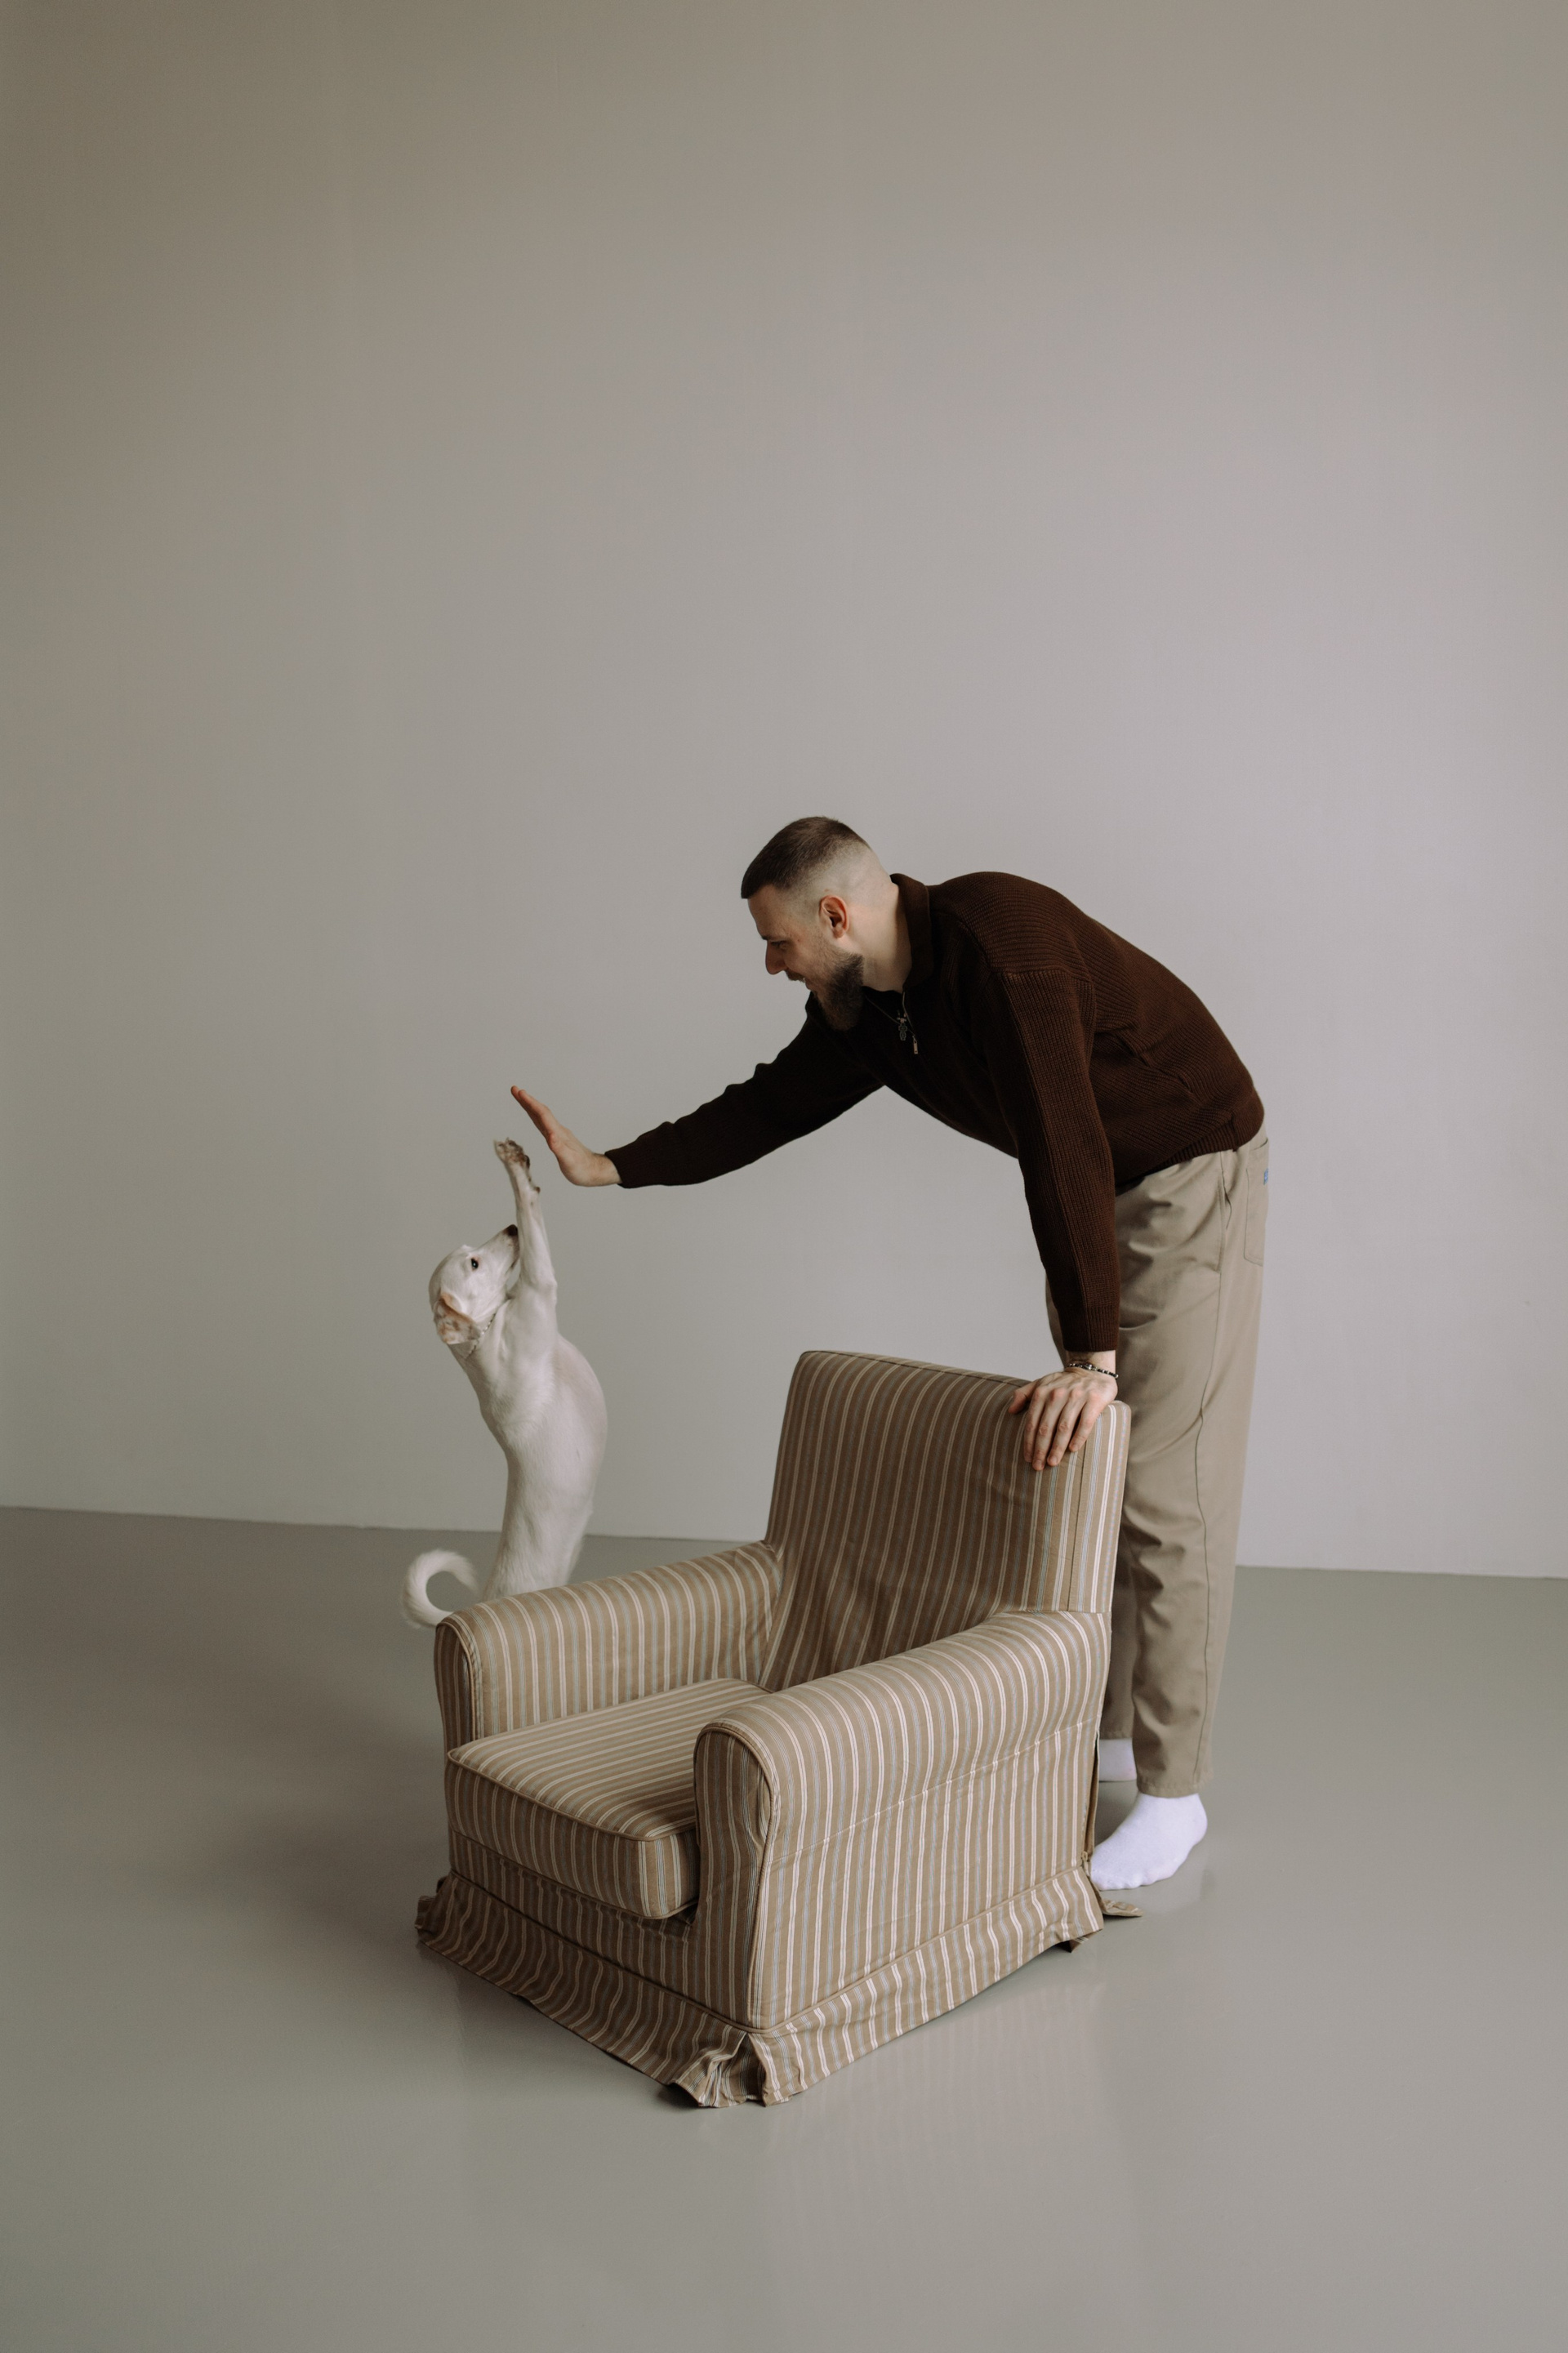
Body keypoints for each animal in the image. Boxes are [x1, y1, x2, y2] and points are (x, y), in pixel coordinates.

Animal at [403, 1139, 608, 1628]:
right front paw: (515, 1168)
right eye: (474, 1262)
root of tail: (478, 1605)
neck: (487, 1331)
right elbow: (532, 1219)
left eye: (470, 1250)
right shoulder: (540, 1284)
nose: (511, 1230)